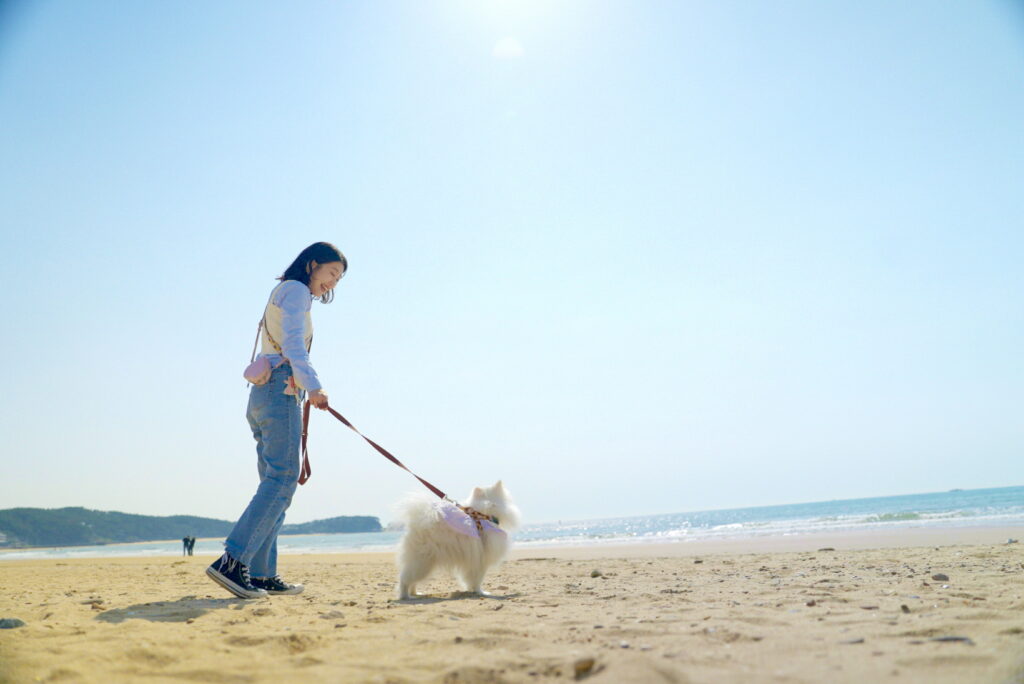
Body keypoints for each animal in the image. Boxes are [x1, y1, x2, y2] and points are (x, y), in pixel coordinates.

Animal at [391, 481, 520, 597]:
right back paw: (405, 596)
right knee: (404, 579)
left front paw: (472, 590)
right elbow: (478, 579)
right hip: (421, 562)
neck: (483, 514)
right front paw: (481, 592)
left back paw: (415, 593)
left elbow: (470, 579)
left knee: (412, 580)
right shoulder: (481, 560)